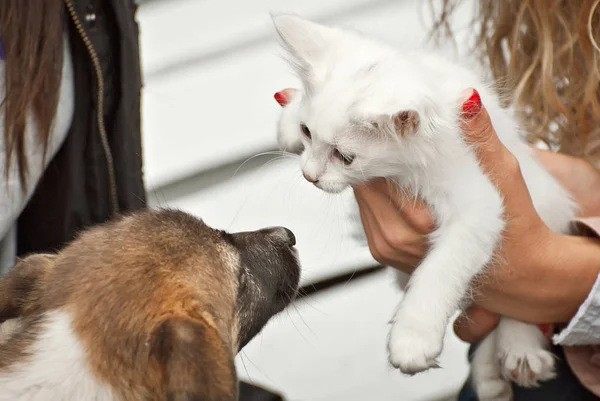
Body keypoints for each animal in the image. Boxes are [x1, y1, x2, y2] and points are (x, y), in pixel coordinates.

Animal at [272, 14, 576, 398]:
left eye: (345, 157)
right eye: (307, 132)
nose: (309, 175)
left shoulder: (481, 204)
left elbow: (441, 269)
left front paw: (412, 339)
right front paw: (287, 120)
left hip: (546, 201)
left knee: (521, 307)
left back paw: (519, 350)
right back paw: (490, 376)